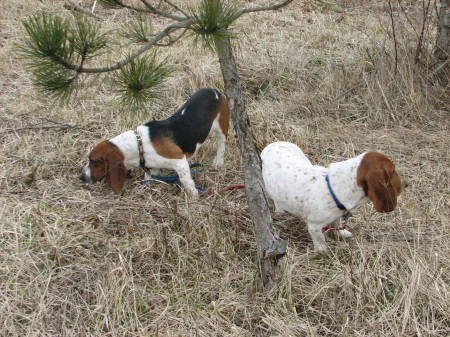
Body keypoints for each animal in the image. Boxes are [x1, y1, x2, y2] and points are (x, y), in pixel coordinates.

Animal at [78, 88, 229, 196]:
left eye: (93, 161)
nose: (81, 177)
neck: (139, 144)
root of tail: (213, 90)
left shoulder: (179, 161)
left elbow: (187, 182)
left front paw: (194, 196)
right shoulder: (152, 167)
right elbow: (148, 178)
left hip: (222, 127)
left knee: (221, 144)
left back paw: (219, 162)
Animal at [260, 140, 404, 251]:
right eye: (393, 171)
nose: (406, 184)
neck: (334, 188)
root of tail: (273, 144)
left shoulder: (337, 216)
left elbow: (337, 224)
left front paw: (342, 232)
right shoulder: (314, 226)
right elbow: (320, 241)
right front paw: (322, 252)